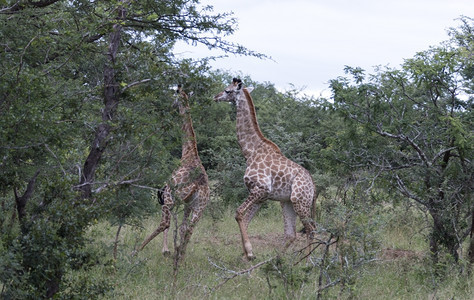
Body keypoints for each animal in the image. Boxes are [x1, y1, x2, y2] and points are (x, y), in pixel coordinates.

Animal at [132, 85, 208, 260]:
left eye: (174, 95)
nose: (171, 106)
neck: (188, 152)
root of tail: (196, 184)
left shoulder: (169, 194)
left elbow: (170, 224)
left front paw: (165, 250)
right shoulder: (188, 206)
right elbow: (183, 228)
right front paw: (171, 251)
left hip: (171, 198)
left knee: (165, 223)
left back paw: (138, 250)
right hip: (198, 209)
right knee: (188, 229)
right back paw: (180, 257)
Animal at [214, 78, 314, 260]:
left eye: (227, 90)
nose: (216, 97)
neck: (250, 151)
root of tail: (313, 185)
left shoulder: (261, 188)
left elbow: (238, 213)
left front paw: (249, 252)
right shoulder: (260, 195)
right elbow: (245, 220)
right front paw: (246, 255)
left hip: (300, 202)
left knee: (311, 230)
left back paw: (309, 260)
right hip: (287, 202)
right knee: (291, 234)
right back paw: (276, 260)